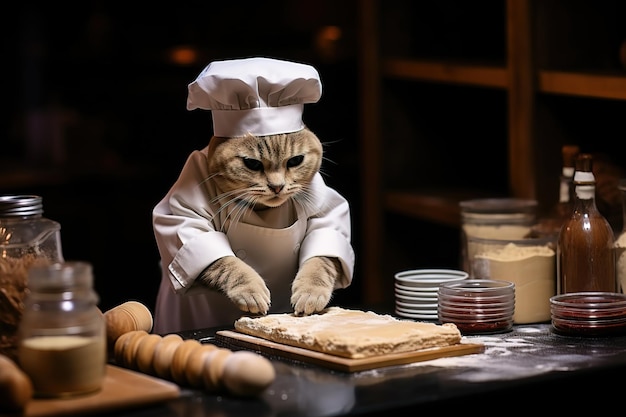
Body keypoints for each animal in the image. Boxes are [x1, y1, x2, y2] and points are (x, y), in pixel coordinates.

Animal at [196, 127, 346, 316]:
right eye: (252, 164)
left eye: (295, 160)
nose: (277, 187)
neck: (263, 210)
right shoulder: (192, 227)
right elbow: (226, 264)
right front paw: (250, 289)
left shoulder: (326, 215)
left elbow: (321, 260)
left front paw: (311, 290)